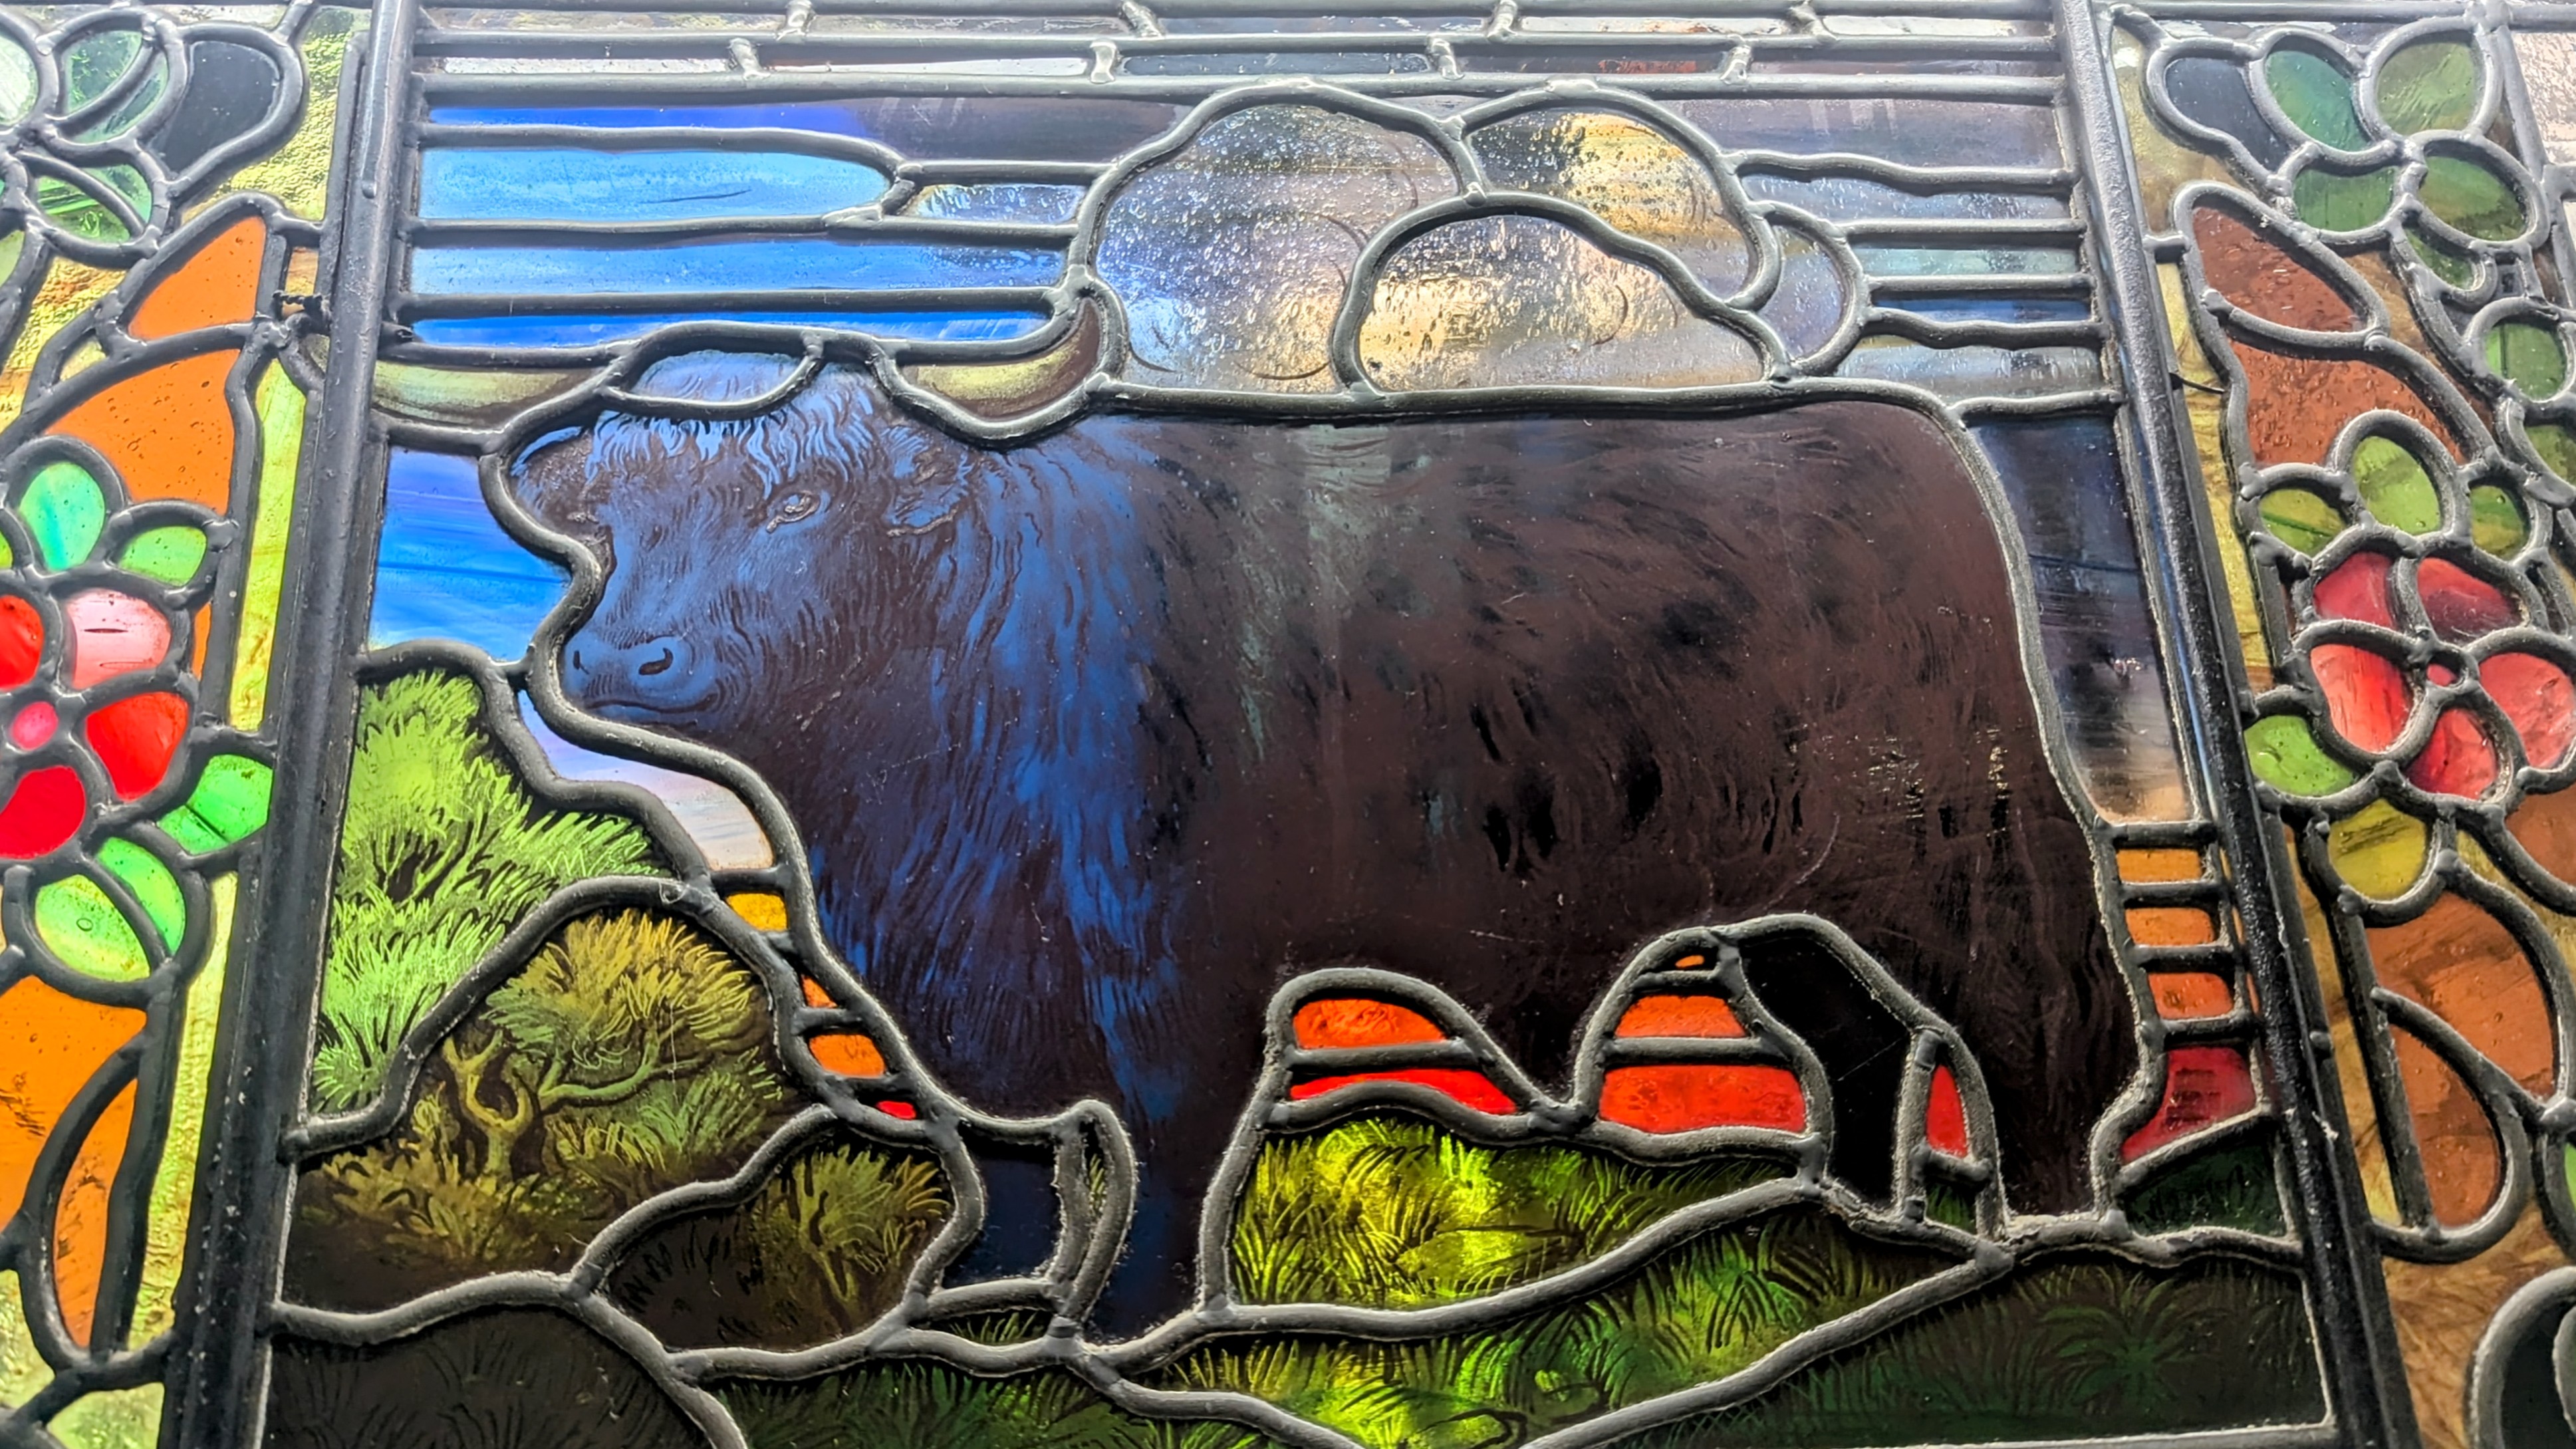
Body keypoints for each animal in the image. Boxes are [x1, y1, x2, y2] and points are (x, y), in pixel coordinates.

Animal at [512, 354, 2134, 1330]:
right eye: (612, 525)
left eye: (796, 502)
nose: (622, 658)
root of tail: (1913, 433)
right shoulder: (955, 975)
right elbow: (1003, 1144)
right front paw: (978, 1286)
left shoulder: (1182, 979)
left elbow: (1165, 1147)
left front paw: (1124, 1325)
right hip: (1782, 904)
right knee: (1853, 1041)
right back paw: (1847, 1216)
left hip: (1957, 857)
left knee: (2034, 1019)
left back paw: (2053, 1228)